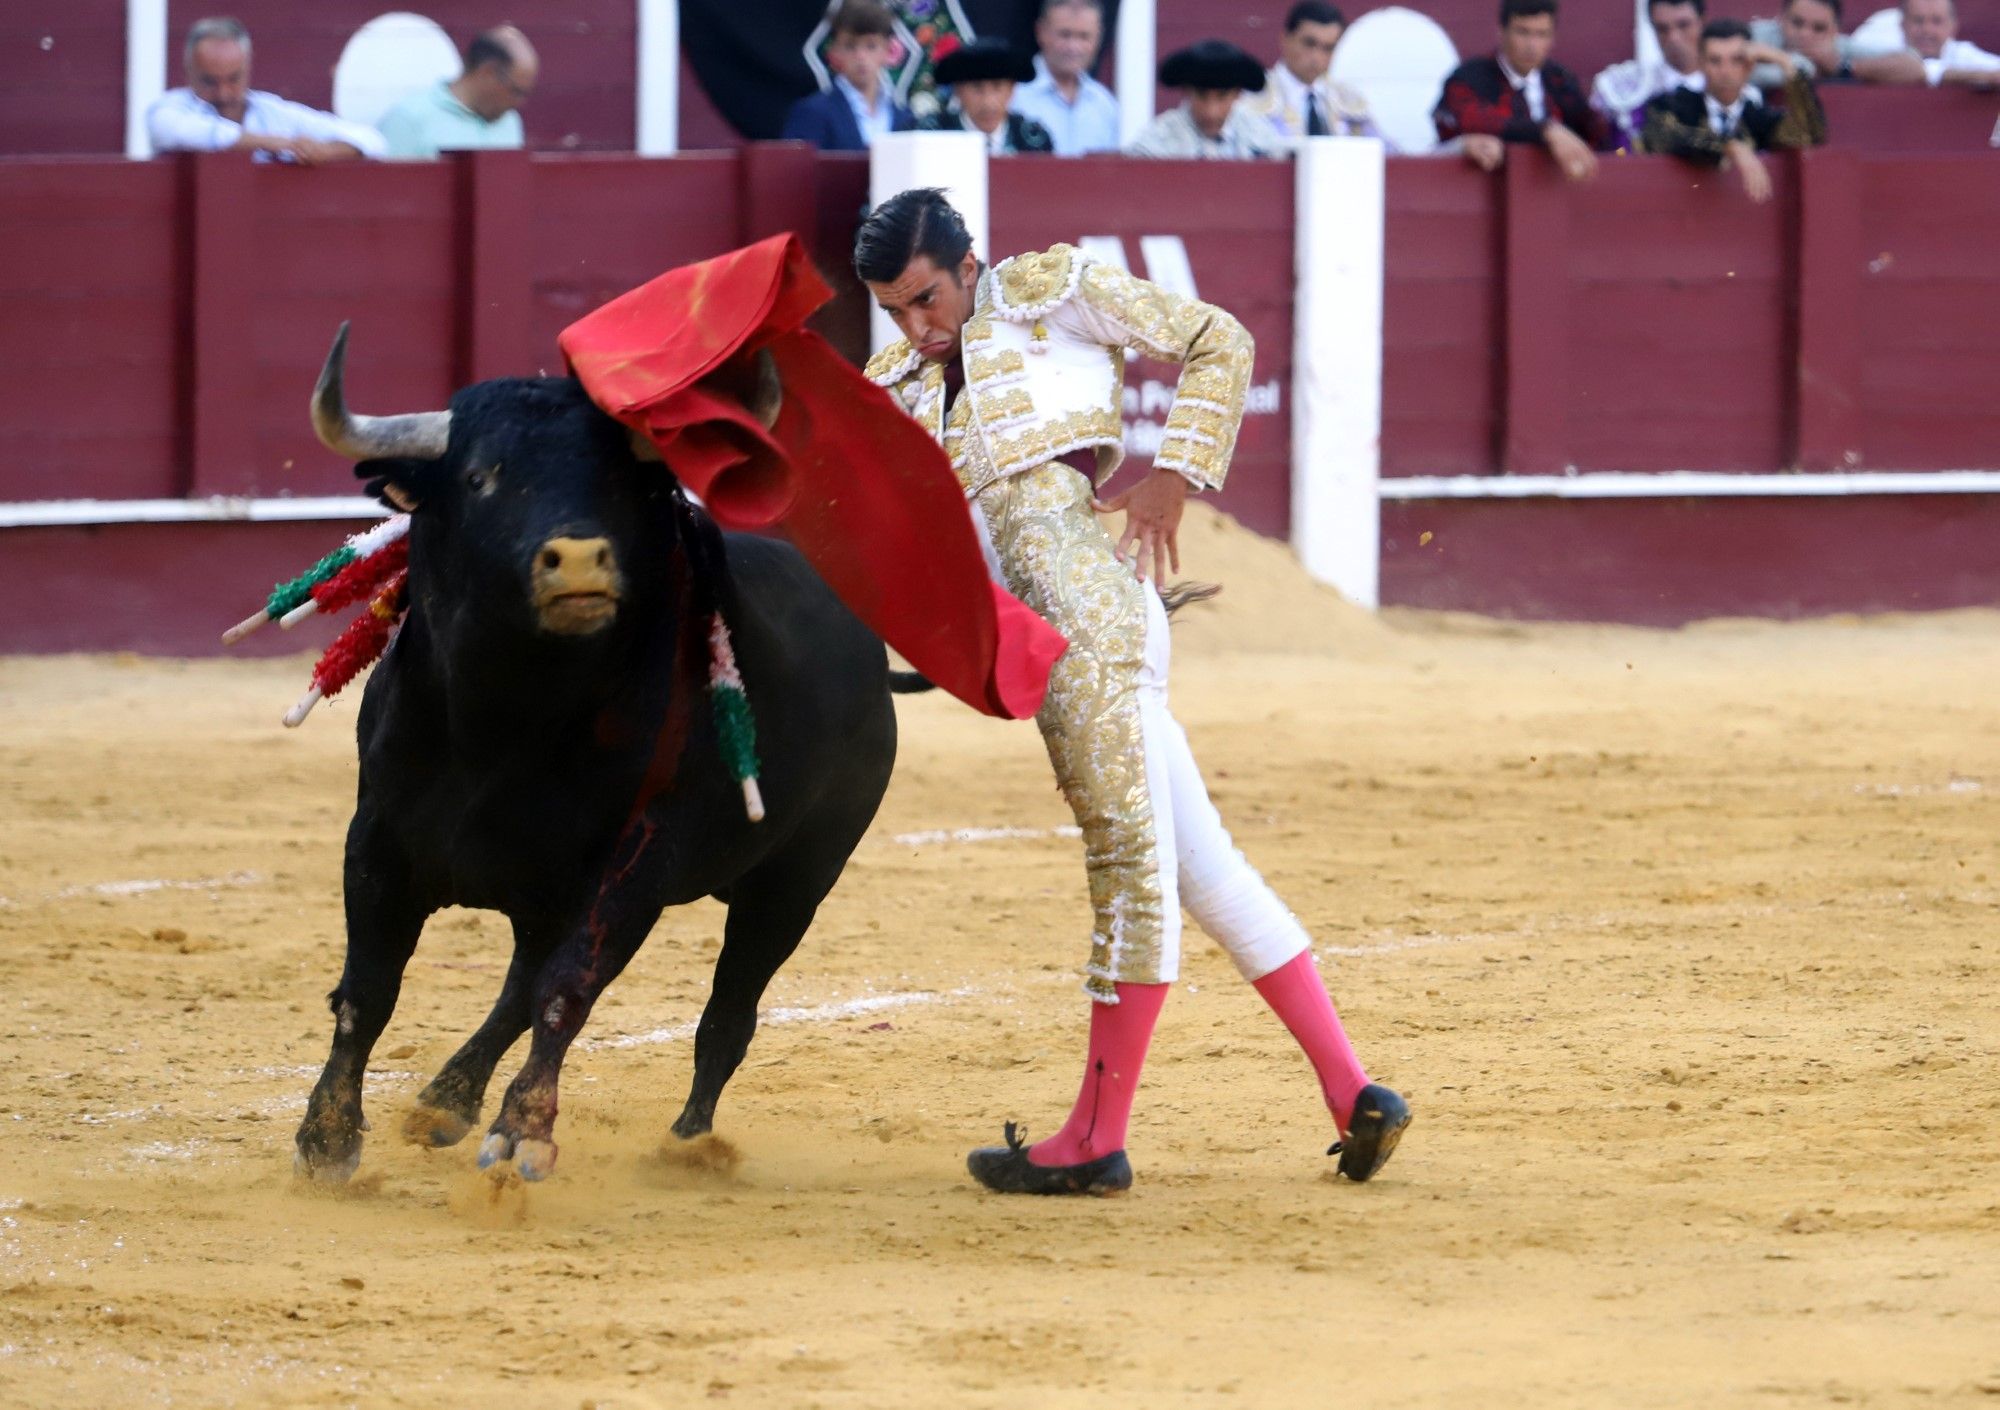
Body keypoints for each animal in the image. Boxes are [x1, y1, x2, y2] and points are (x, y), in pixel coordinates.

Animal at [292, 324, 900, 1184]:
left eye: (623, 485)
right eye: (479, 477)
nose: (578, 561)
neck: (507, 719)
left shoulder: (635, 863)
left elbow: (566, 993)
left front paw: (523, 1133)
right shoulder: (376, 839)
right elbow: (370, 989)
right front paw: (328, 1138)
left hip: (796, 880)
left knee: (726, 1013)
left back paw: (687, 1147)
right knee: (518, 986)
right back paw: (444, 1101)